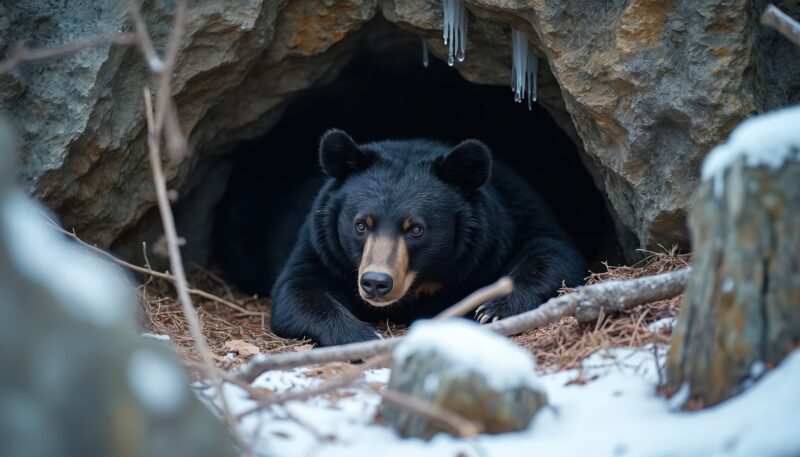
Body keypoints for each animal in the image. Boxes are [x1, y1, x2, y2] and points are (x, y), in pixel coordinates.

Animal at [268, 129, 586, 346]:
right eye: (361, 225)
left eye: (416, 229)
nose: (375, 283)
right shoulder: (320, 242)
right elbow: (297, 289)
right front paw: (363, 335)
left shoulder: (509, 218)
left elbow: (552, 250)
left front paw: (492, 310)